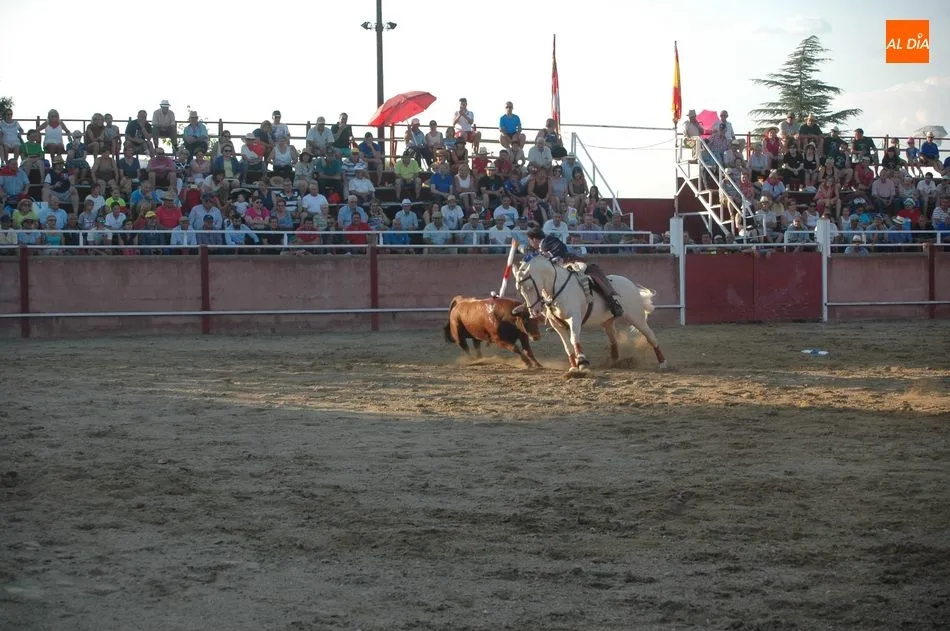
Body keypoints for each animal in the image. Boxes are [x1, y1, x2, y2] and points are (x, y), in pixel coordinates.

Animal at [513, 255, 667, 371]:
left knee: (651, 337)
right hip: (607, 322)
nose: (534, 312)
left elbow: (574, 339)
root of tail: (630, 284)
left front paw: (582, 362)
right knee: (613, 340)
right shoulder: (557, 325)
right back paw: (614, 362)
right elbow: (567, 346)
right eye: (519, 290)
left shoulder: (574, 319)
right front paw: (573, 366)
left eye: (529, 287)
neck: (557, 288)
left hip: (636, 317)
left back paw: (663, 363)